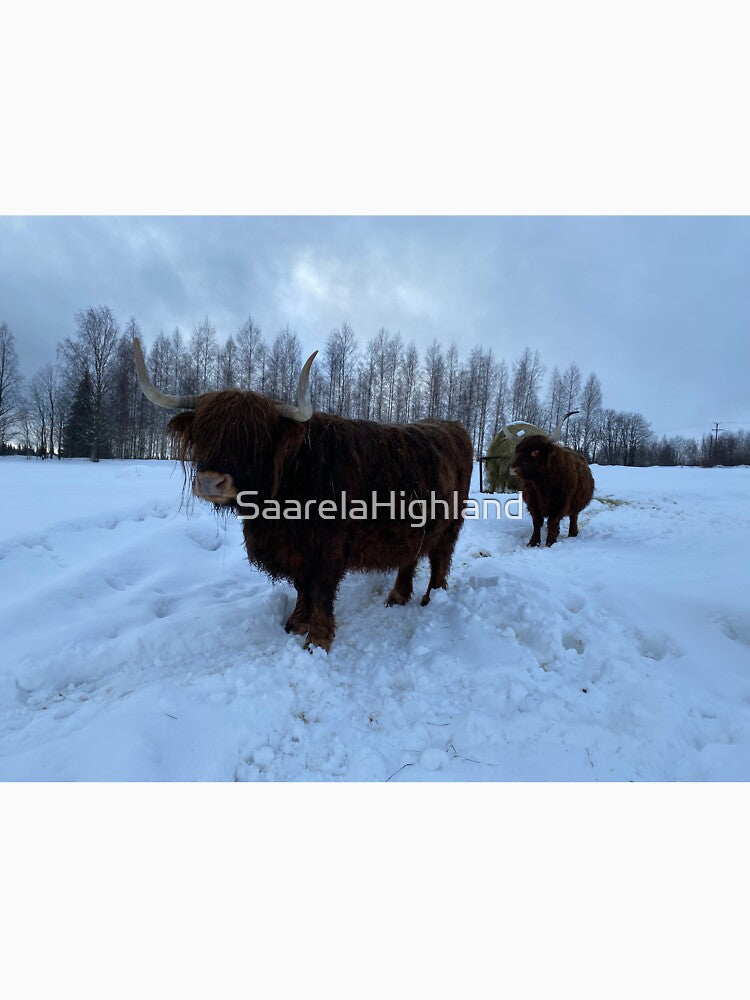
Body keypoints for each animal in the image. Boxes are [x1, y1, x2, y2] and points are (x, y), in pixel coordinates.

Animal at [133, 337, 473, 651]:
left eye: (255, 439)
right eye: (205, 433)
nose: (210, 482)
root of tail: (452, 425)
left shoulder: (327, 548)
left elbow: (321, 591)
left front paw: (317, 641)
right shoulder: (294, 549)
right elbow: (301, 587)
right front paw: (296, 623)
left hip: (452, 523)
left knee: (441, 557)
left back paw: (432, 598)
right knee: (410, 557)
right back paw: (398, 596)